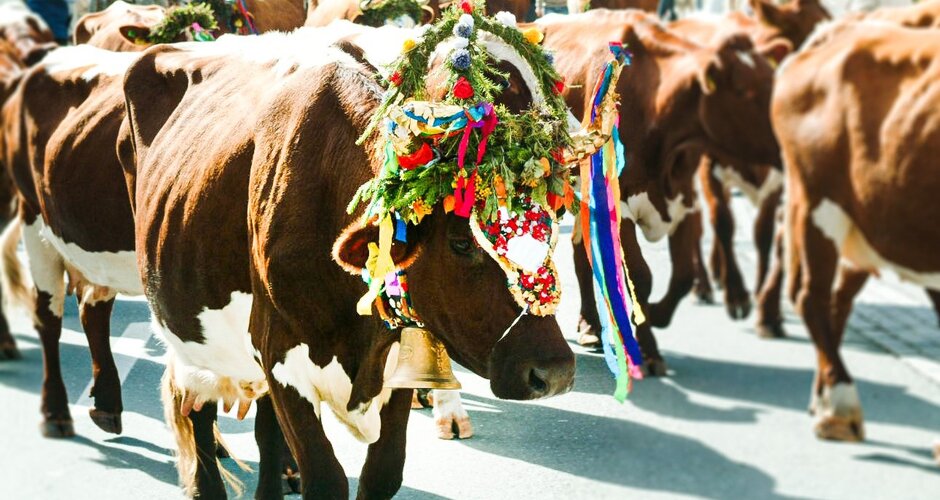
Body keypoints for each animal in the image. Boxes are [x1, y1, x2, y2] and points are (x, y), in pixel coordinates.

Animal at [120, 26, 576, 497]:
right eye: (461, 243)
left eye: (551, 225)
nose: (554, 372)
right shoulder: (279, 352)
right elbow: (324, 477)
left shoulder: (396, 351)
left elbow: (383, 472)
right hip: (189, 338)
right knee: (195, 409)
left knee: (263, 430)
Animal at [533, 9, 780, 373]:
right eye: (743, 91)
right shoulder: (619, 207)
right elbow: (641, 277)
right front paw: (647, 346)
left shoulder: (684, 199)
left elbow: (683, 275)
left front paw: (660, 316)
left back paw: (591, 326)